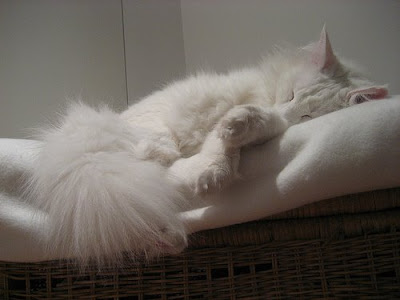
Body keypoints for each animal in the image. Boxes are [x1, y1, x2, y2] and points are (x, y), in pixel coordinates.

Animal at [25, 28, 388, 266]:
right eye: (291, 95)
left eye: (308, 115)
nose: (286, 112)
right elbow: (230, 138)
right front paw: (222, 158)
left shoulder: (264, 126)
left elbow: (232, 140)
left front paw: (227, 149)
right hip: (147, 135)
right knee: (152, 165)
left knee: (156, 189)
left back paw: (170, 231)